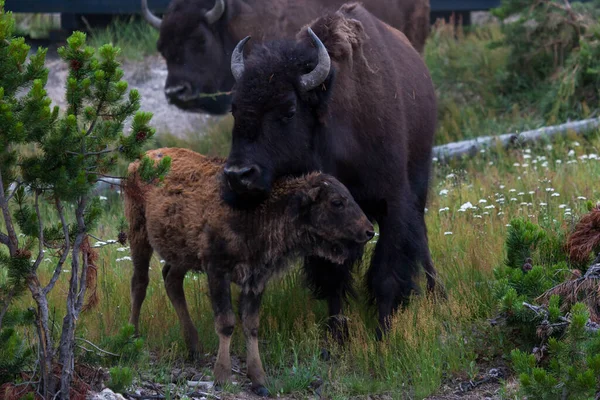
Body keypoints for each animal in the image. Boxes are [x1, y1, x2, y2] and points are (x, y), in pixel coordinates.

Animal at [124, 147, 372, 394]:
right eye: (337, 202)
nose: (369, 231)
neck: (260, 211)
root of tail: (140, 160)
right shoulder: (217, 271)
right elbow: (226, 322)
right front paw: (223, 376)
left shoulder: (256, 278)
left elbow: (251, 324)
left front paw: (259, 379)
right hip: (139, 232)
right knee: (140, 283)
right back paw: (132, 336)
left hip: (182, 254)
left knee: (171, 281)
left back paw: (194, 348)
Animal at [220, 3, 440, 340]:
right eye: (235, 108)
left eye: (289, 110)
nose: (238, 175)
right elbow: (333, 277)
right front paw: (337, 335)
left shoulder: (392, 203)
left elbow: (387, 273)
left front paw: (383, 334)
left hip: (419, 182)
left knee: (421, 237)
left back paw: (437, 293)